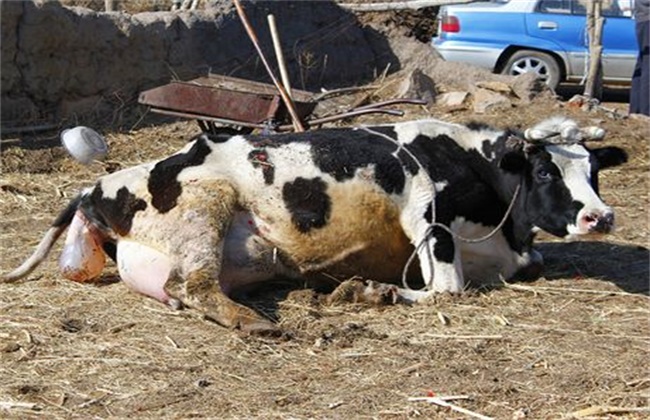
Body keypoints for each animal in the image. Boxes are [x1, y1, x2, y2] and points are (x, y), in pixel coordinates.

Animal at [2, 116, 624, 334]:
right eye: (544, 169)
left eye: (594, 170)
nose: (600, 216)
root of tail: (94, 187)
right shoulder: (424, 202)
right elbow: (449, 287)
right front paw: (370, 291)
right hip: (207, 200)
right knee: (194, 283)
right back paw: (253, 322)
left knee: (184, 287)